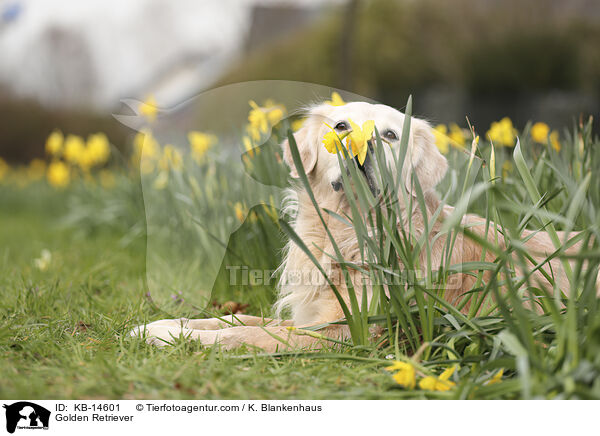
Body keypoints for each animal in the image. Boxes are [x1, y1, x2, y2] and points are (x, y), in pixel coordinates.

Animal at [129, 101, 584, 350]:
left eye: (390, 136)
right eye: (341, 127)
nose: (362, 147)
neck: (349, 232)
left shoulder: (349, 331)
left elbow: (246, 336)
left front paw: (179, 339)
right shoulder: (311, 314)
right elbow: (238, 320)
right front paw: (162, 326)